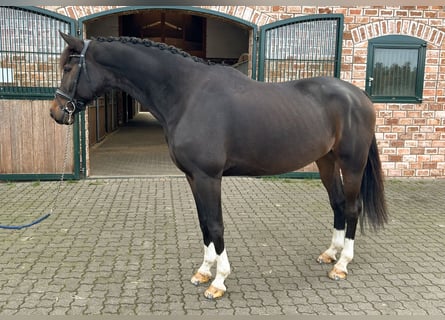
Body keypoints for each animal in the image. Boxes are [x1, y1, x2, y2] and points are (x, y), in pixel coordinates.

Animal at [50, 33, 386, 300]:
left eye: (68, 68)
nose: (56, 112)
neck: (187, 95)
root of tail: (360, 96)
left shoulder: (208, 177)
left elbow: (215, 224)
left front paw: (219, 281)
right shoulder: (192, 177)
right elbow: (203, 224)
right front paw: (203, 271)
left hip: (351, 164)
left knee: (352, 207)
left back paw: (342, 264)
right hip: (326, 161)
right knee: (338, 204)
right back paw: (330, 254)